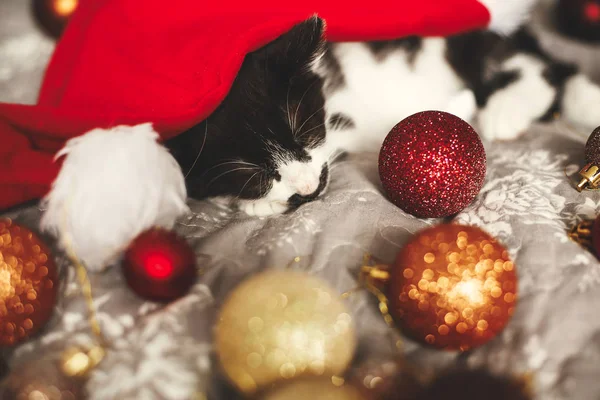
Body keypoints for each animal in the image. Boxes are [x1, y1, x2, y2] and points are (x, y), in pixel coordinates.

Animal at [166, 15, 600, 217]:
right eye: (252, 175)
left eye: (304, 133)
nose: (308, 187)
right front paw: (257, 203)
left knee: (541, 68)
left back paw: (504, 110)